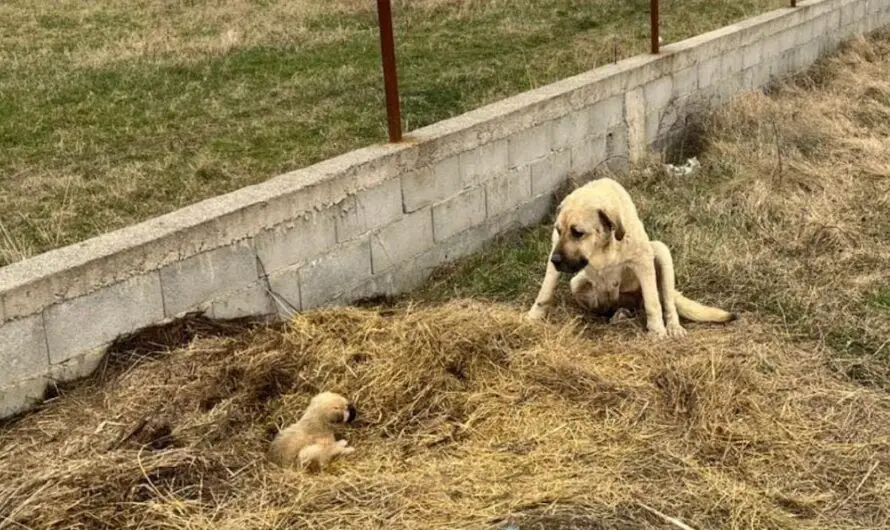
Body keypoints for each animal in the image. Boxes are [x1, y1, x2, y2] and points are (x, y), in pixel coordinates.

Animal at [528, 176, 736, 334]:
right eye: (558, 230)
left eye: (578, 233)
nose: (555, 260)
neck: (603, 246)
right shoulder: (556, 252)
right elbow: (545, 292)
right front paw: (533, 316)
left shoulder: (643, 261)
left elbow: (653, 303)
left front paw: (657, 331)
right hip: (577, 283)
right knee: (609, 306)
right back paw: (619, 313)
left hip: (660, 251)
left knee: (666, 302)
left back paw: (672, 326)